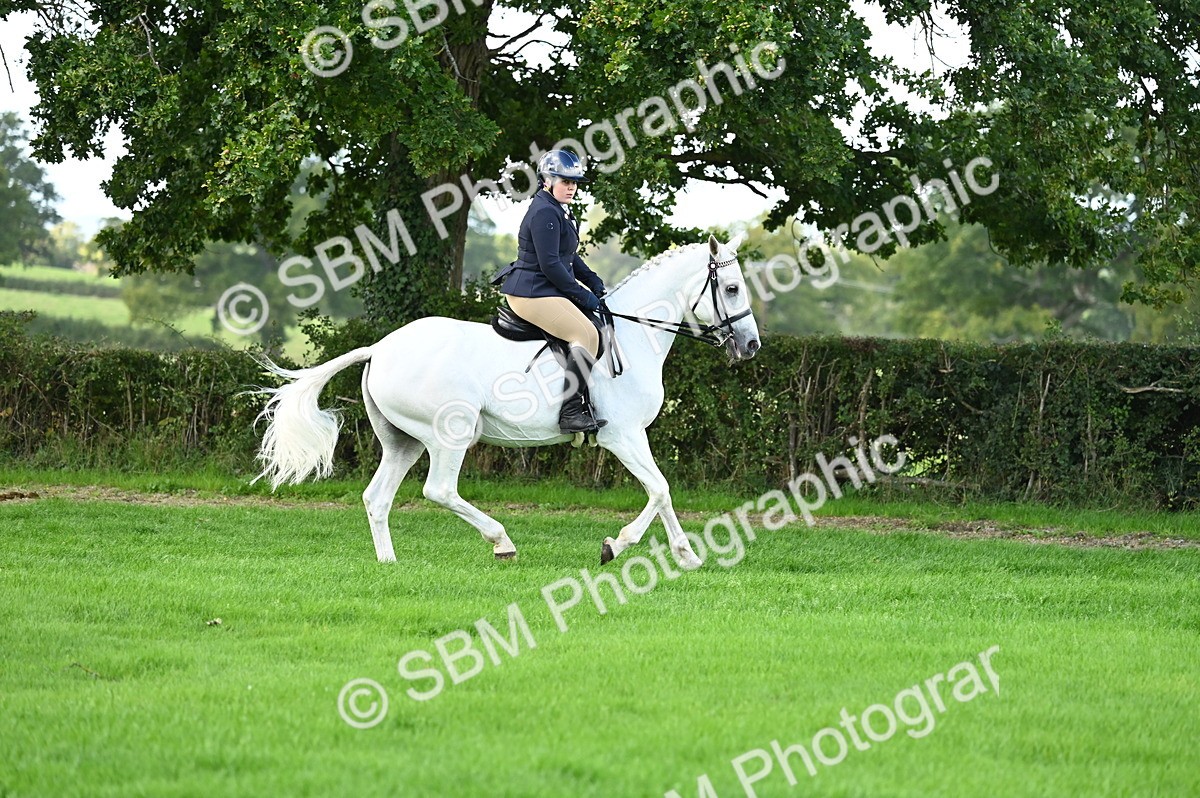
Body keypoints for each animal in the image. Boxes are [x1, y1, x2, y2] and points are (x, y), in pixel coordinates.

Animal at [252, 233, 761, 569]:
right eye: (732, 288)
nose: (751, 345)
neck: (635, 336)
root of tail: (380, 347)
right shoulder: (622, 436)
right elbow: (658, 489)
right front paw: (616, 545)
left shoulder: (636, 436)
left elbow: (663, 492)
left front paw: (686, 555)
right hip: (450, 433)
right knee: (439, 490)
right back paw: (501, 541)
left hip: (403, 441)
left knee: (377, 498)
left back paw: (390, 562)